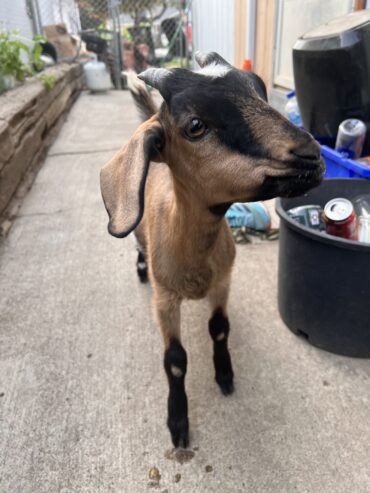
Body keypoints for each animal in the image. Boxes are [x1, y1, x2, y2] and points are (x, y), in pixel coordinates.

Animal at [99, 52, 324, 448]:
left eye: (259, 89)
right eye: (194, 125)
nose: (311, 156)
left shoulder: (223, 282)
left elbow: (219, 328)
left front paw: (225, 375)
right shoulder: (164, 300)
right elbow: (174, 359)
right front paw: (177, 422)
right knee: (138, 247)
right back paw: (140, 268)